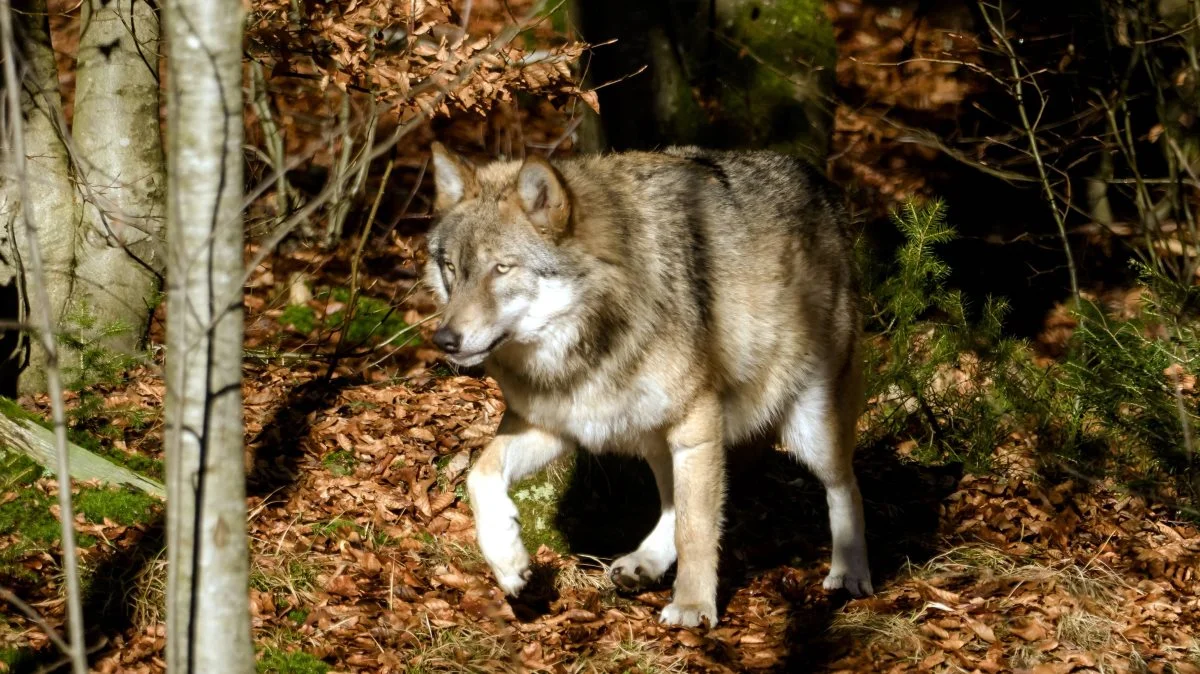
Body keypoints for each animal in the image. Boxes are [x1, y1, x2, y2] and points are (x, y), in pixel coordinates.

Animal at [422, 140, 873, 623]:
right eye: (451, 268)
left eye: (502, 269)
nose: (444, 340)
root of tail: (819, 180)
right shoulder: (556, 424)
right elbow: (478, 476)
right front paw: (508, 562)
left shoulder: (697, 425)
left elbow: (697, 529)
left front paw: (693, 605)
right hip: (652, 433)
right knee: (673, 502)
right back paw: (646, 563)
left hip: (810, 428)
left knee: (846, 487)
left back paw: (851, 572)